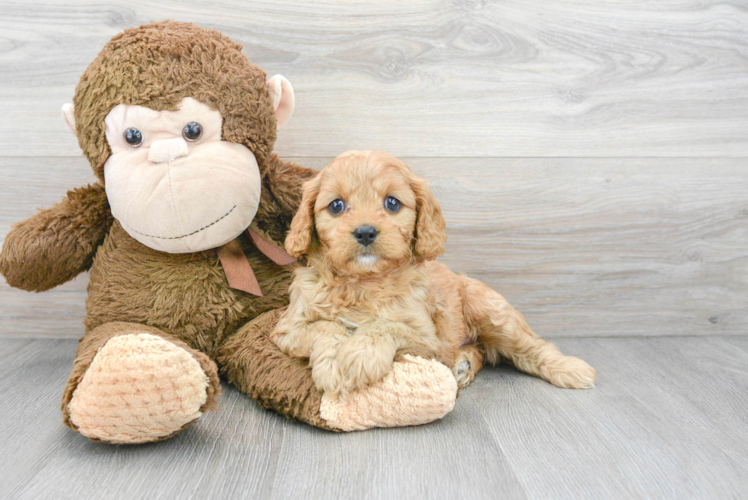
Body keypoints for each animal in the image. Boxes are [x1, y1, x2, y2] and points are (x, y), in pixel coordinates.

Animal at [272, 150, 592, 396]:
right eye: (336, 205)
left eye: (392, 203)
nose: (365, 232)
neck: (364, 282)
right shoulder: (287, 328)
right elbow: (325, 326)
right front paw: (331, 365)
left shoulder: (429, 340)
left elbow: (386, 326)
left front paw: (360, 356)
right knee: (479, 350)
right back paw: (463, 364)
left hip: (492, 312)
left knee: (531, 347)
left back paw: (570, 368)